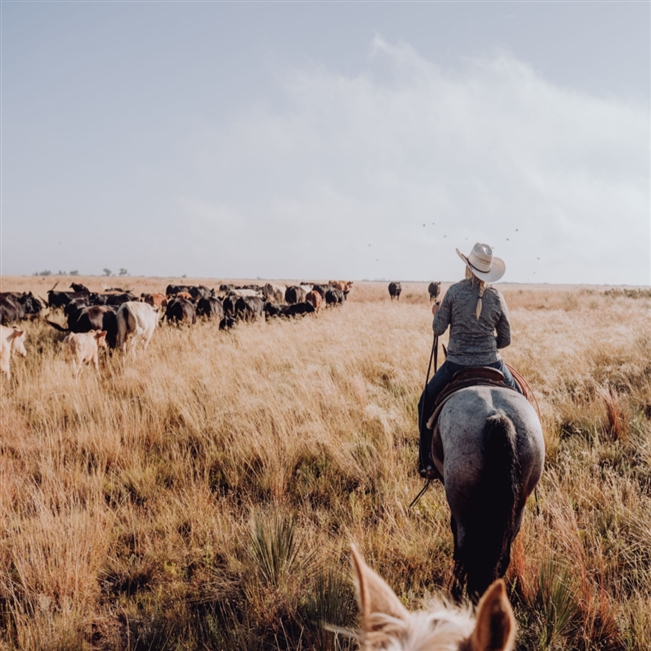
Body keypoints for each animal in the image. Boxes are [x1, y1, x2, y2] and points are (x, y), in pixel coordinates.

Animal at [432, 384, 544, 604]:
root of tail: (498, 416)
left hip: (463, 508)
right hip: (518, 507)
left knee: (463, 553)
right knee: (502, 555)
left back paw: (456, 596)